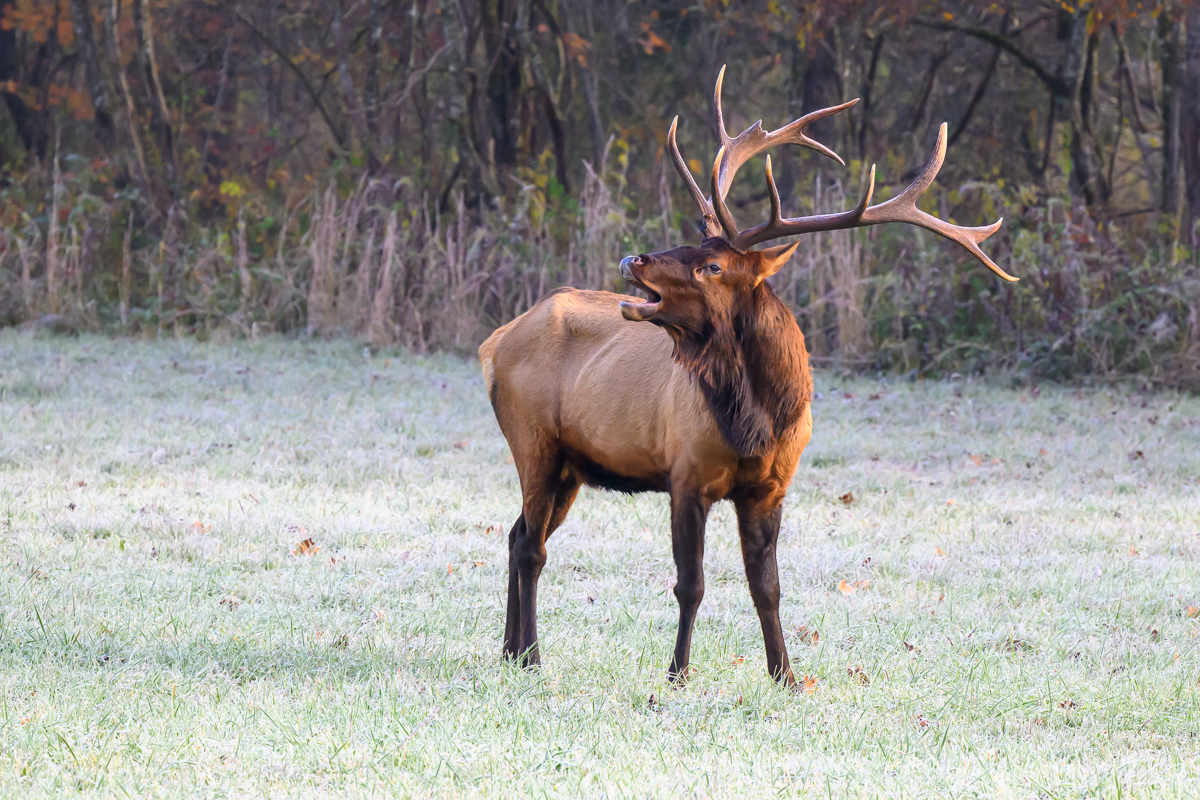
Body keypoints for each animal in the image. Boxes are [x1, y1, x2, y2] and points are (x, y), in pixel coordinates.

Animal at [479, 66, 1017, 687]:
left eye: (712, 264)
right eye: (692, 244)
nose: (634, 259)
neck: (760, 420)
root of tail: (493, 342)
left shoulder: (771, 486)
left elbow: (768, 586)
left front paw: (785, 675)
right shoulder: (686, 474)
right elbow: (690, 585)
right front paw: (676, 674)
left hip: (571, 464)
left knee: (519, 532)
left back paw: (510, 651)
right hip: (534, 440)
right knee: (531, 547)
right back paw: (532, 656)